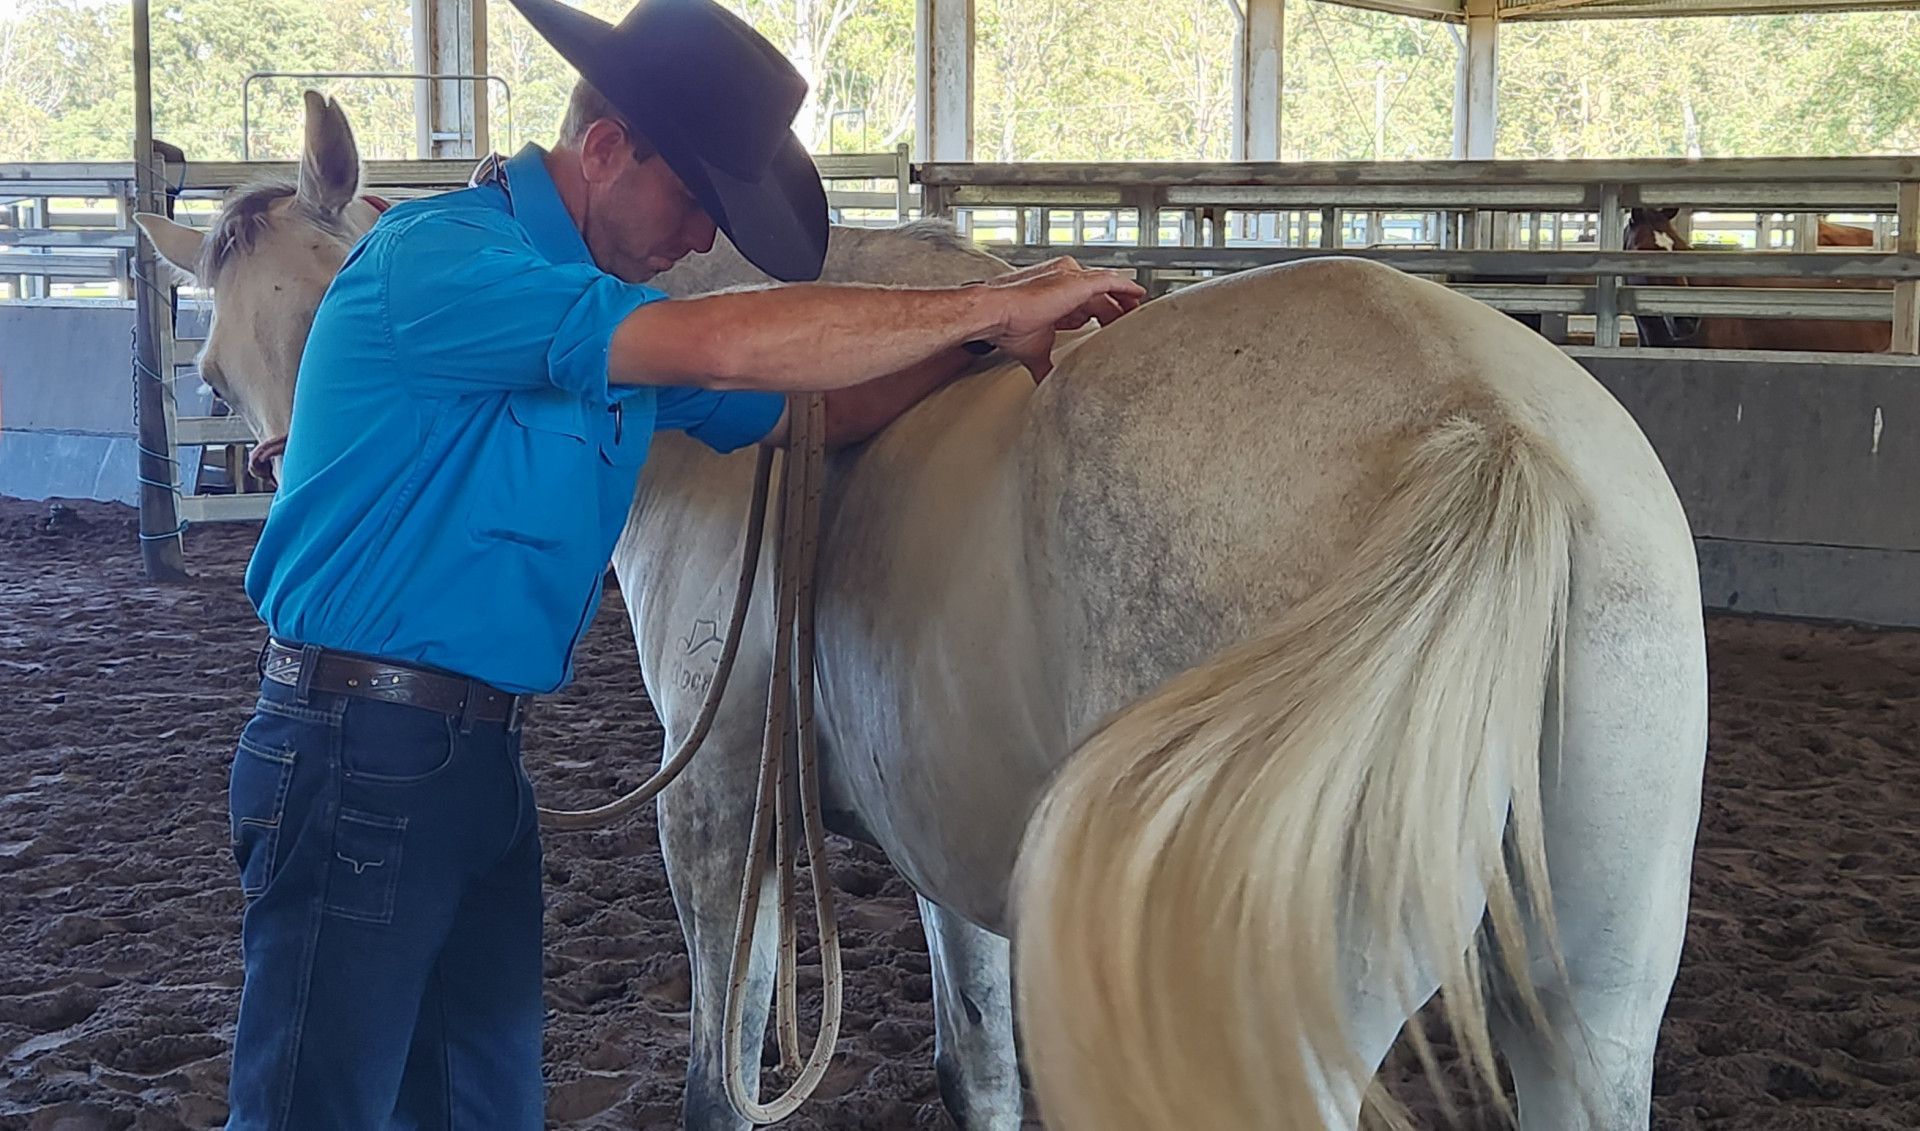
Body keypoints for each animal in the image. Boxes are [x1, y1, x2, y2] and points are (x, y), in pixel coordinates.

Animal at [139, 91, 1708, 1131]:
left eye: (321, 331)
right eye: (212, 370)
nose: (277, 506)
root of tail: (1479, 427)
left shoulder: (719, 814)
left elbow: (722, 1074)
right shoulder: (958, 849)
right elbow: (980, 1068)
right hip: (1595, 1007)